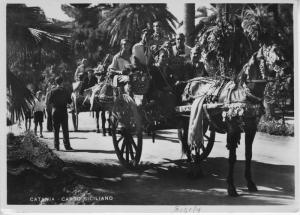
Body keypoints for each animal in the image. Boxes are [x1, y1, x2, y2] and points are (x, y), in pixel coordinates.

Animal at [178, 43, 288, 197]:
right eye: (269, 54)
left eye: (281, 52)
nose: (286, 68)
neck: (243, 92)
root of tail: (189, 83)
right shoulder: (232, 129)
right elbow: (232, 158)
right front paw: (231, 187)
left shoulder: (251, 129)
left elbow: (248, 155)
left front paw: (250, 183)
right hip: (186, 119)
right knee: (188, 143)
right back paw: (192, 168)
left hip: (201, 121)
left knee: (197, 142)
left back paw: (198, 166)